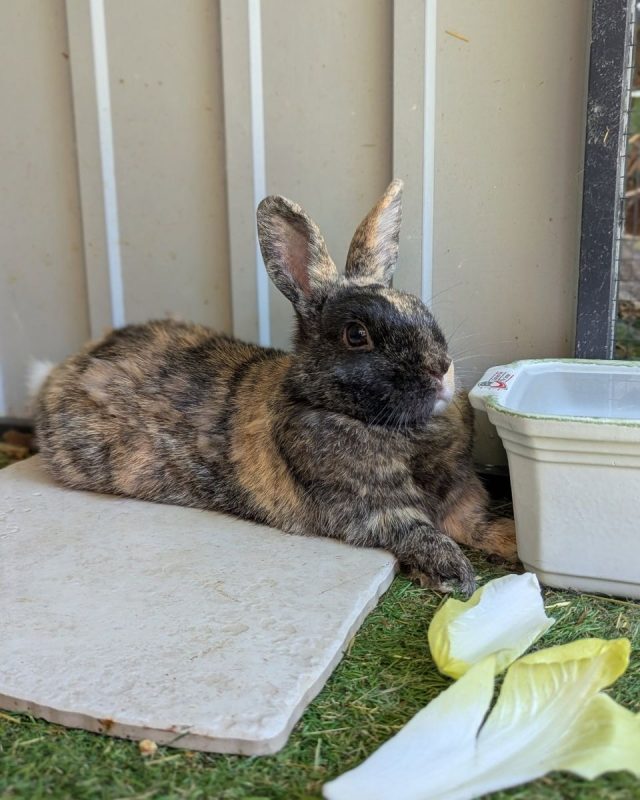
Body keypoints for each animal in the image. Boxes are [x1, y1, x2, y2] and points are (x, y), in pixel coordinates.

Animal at [32, 179, 516, 595]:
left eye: (419, 307)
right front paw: (455, 575)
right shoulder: (373, 509)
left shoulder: (461, 498)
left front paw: (514, 542)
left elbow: (481, 523)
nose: (440, 370)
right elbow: (418, 532)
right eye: (356, 335)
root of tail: (58, 375)